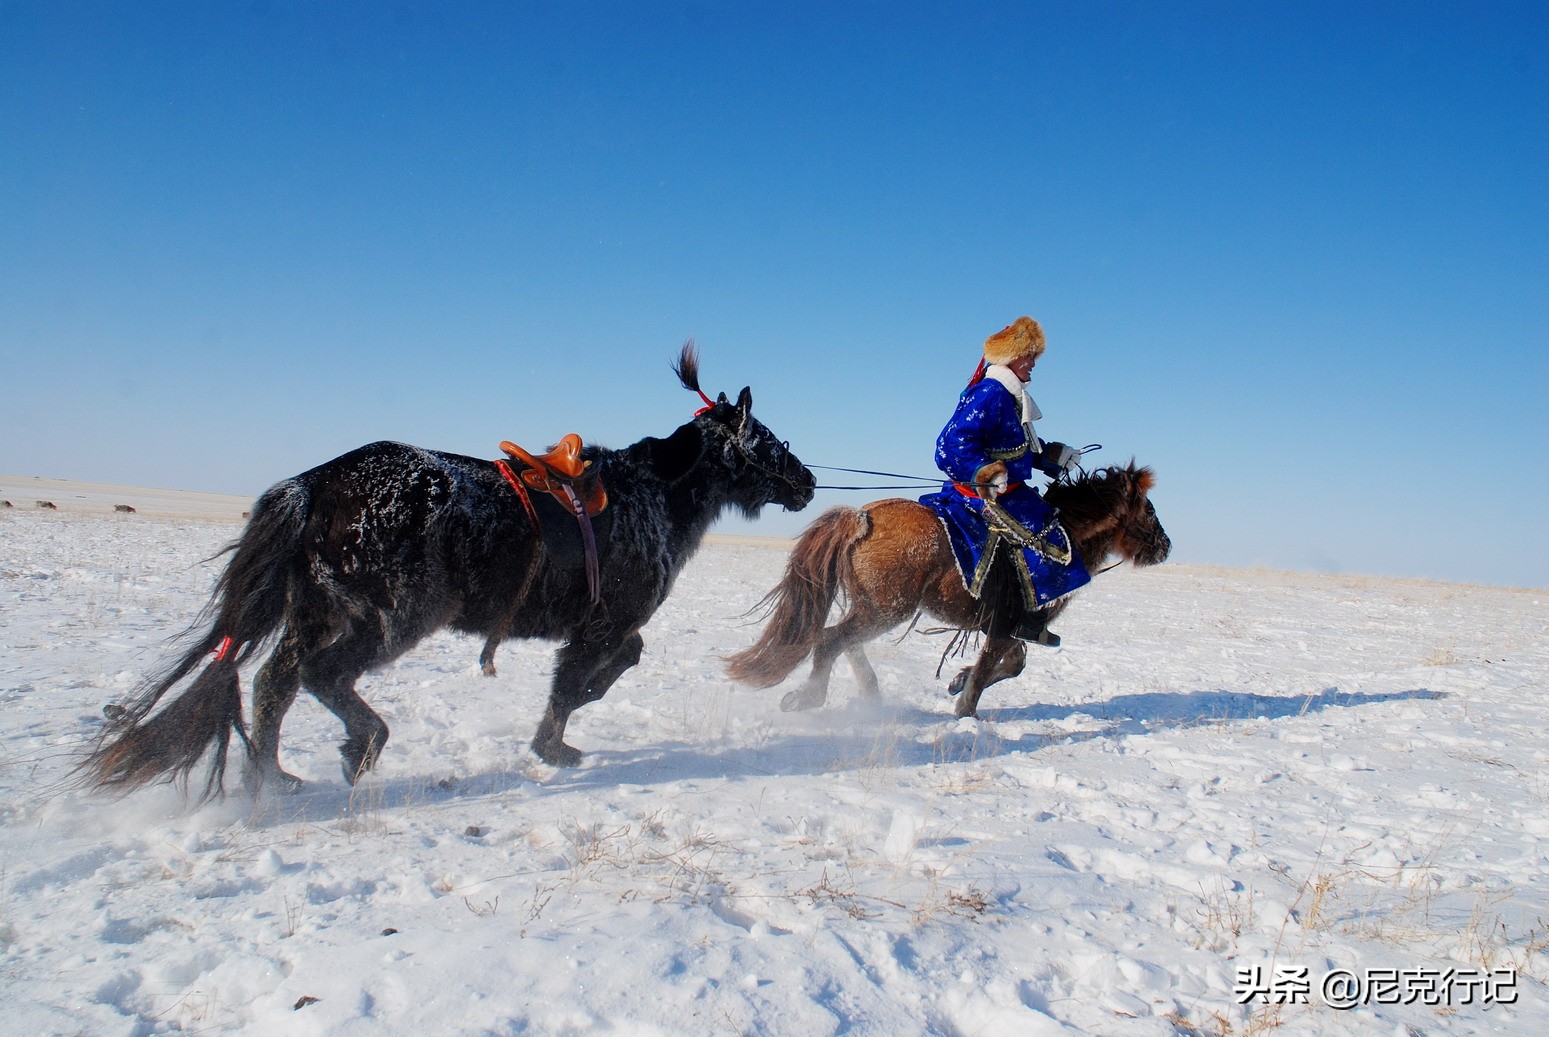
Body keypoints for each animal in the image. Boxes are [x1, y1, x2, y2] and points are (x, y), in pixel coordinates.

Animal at [83, 344, 815, 799]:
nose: (806, 480)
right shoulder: (605, 622)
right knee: (320, 675)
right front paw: (557, 745)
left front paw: (567, 727)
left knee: (274, 683)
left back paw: (275, 776)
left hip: (316, 610)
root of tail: (314, 485)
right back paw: (359, 746)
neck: (655, 495)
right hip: (396, 617)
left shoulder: (604, 625)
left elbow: (609, 667)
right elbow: (580, 679)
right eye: (768, 438)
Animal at [725, 463, 1169, 718]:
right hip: (888, 609)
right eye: (1149, 509)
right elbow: (992, 666)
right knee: (832, 640)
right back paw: (809, 698)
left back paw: (869, 694)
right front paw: (965, 711)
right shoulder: (1004, 623)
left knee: (845, 642)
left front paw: (957, 681)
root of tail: (863, 516)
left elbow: (1013, 663)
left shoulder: (1007, 625)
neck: (1069, 536)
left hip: (873, 607)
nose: (1164, 546)